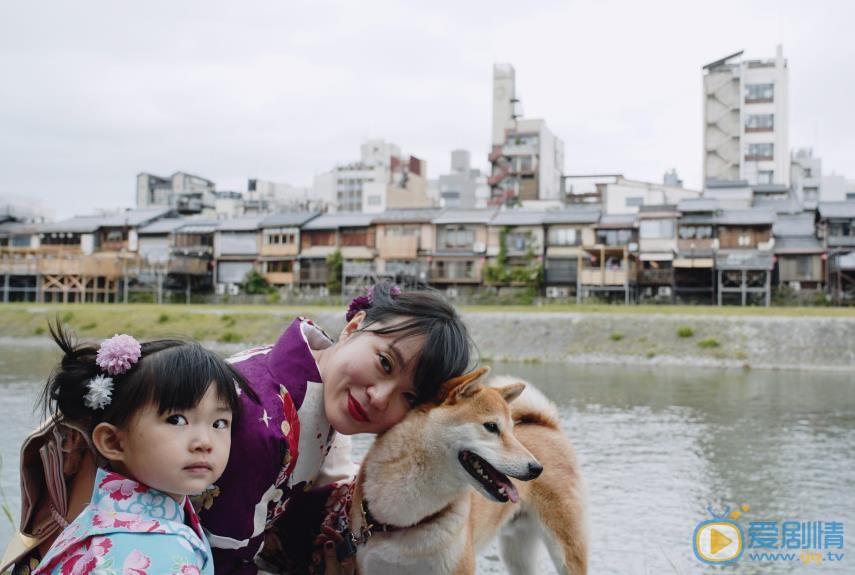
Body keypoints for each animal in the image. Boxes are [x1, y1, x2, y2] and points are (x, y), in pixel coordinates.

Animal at [348, 368, 588, 575]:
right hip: (517, 554)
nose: (536, 469)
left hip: (565, 549)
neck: (406, 518)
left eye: (512, 430)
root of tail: (548, 426)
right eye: (491, 427)